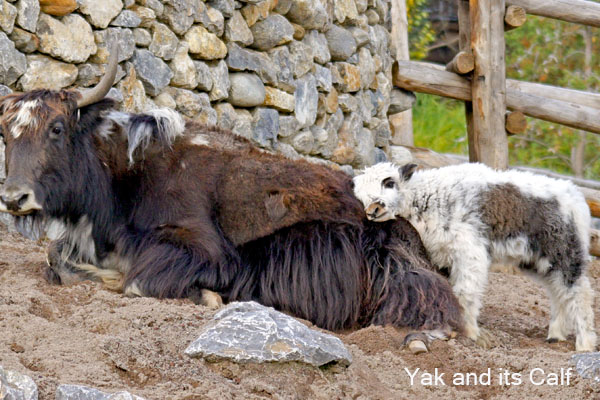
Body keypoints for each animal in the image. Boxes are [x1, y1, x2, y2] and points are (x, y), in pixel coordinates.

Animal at [352, 161, 596, 352]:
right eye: (359, 195)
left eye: (389, 182)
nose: (374, 209)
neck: (426, 199)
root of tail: (576, 197)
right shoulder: (442, 256)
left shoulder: (469, 251)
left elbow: (465, 293)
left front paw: (469, 333)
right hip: (538, 259)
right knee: (558, 292)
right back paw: (555, 335)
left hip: (565, 249)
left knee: (580, 292)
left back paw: (584, 344)